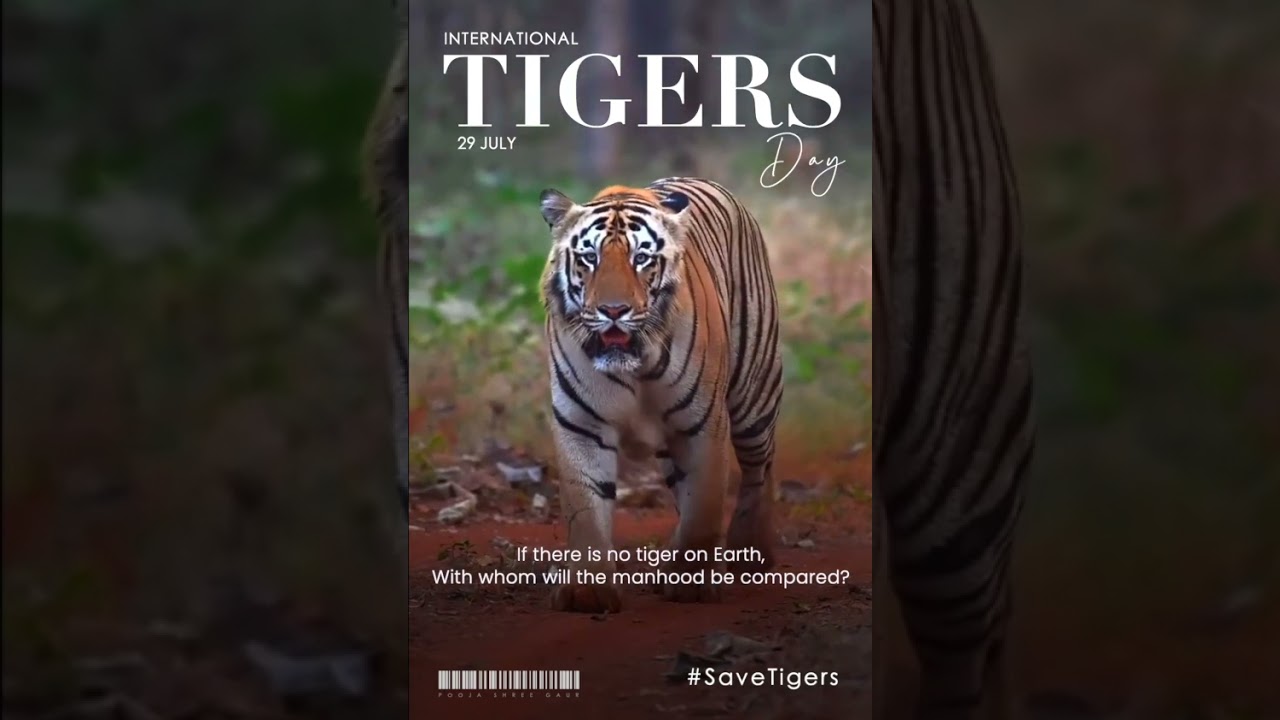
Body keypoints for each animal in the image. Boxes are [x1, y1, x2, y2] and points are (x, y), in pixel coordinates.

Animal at [536, 178, 784, 614]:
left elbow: (704, 504)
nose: (613, 310)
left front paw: (692, 584)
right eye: (589, 258)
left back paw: (751, 551)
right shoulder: (581, 424)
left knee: (761, 469)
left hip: (754, 399)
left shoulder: (703, 425)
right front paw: (586, 590)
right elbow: (585, 506)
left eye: (642, 259)